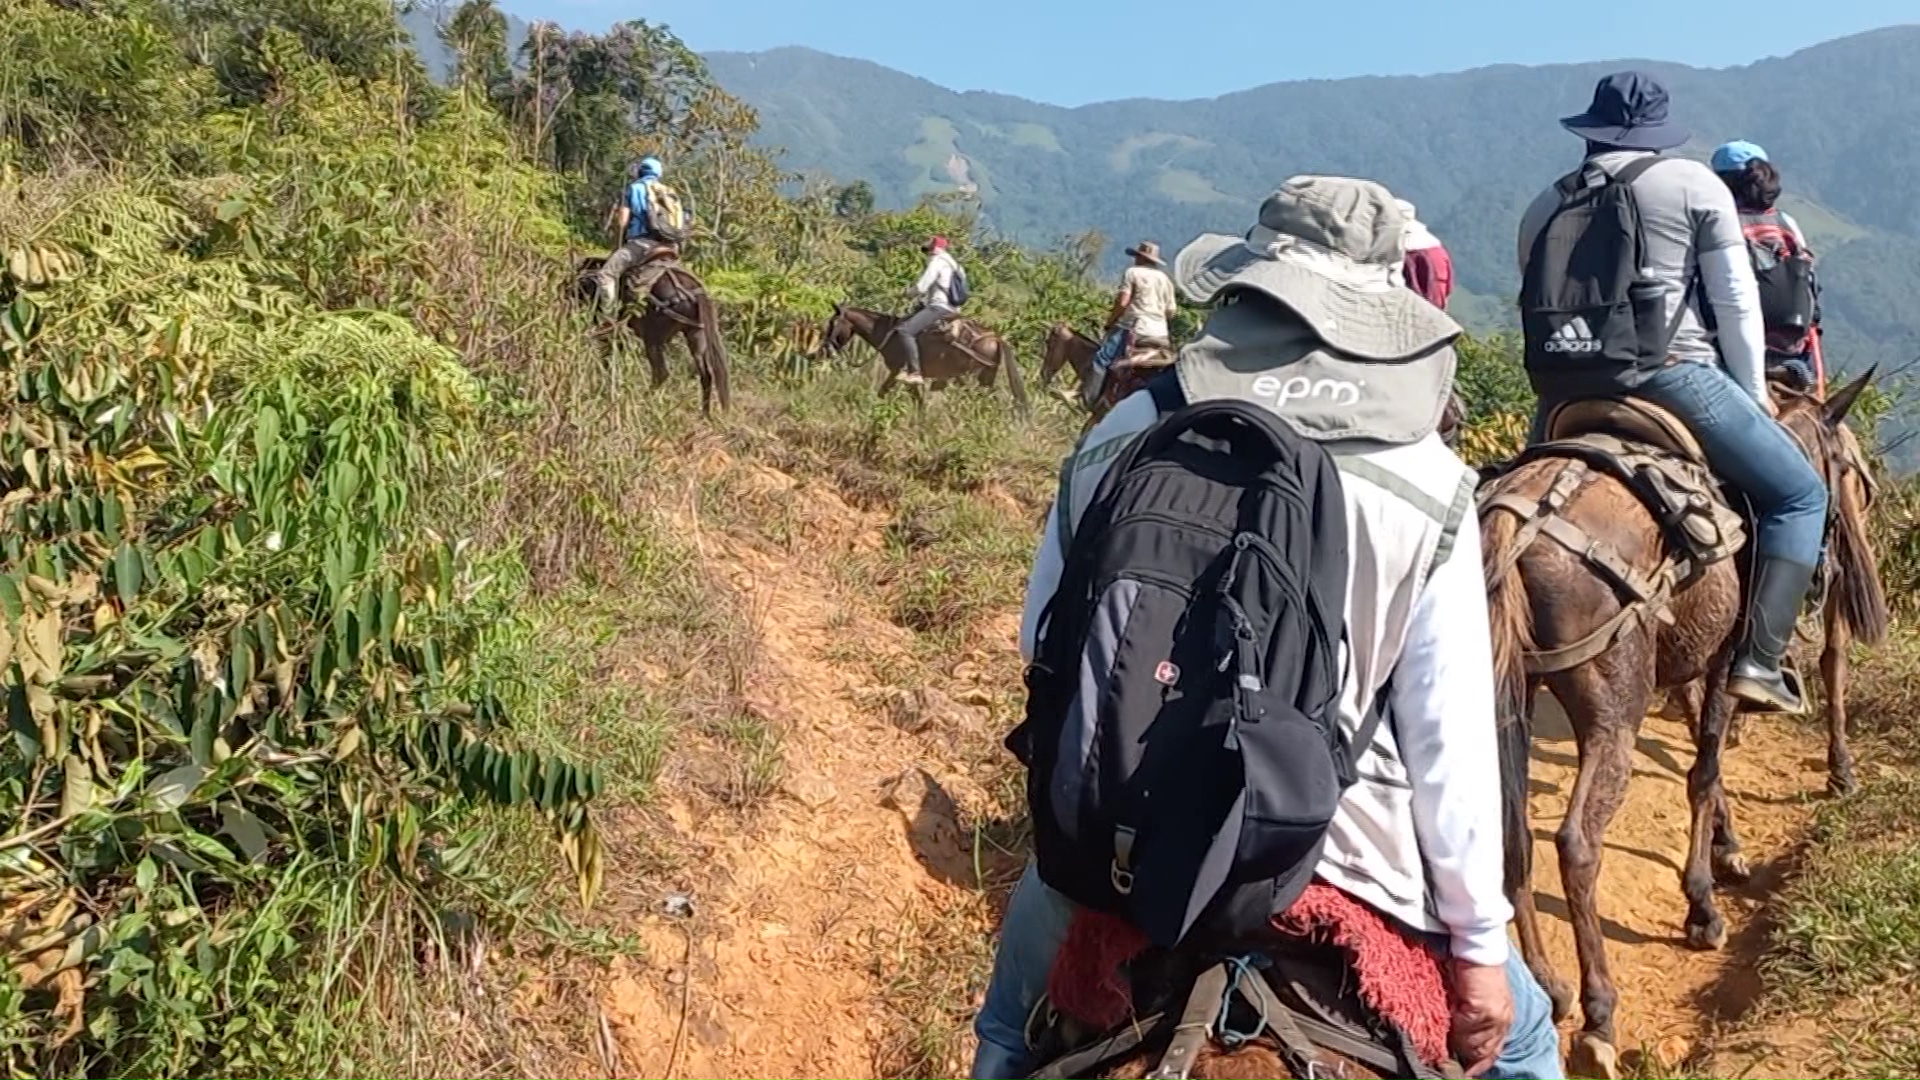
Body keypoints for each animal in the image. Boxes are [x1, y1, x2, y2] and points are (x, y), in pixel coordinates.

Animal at [572, 253, 729, 413]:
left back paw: (643, 400)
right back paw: (704, 414)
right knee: (706, 374)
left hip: (653, 339)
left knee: (661, 373)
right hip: (695, 335)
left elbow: (607, 357)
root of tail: (691, 292)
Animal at [817, 307, 1029, 417]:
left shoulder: (898, 372)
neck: (888, 333)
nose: (824, 350)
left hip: (976, 379)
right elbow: (914, 399)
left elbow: (887, 393)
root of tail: (996, 338)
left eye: (832, 324)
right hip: (983, 379)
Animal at [1474, 372, 1881, 1076]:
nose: (1840, 533)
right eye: (1838, 462)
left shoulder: (1692, 661)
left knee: (1512, 835)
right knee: (1577, 844)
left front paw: (1727, 848)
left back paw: (1550, 988)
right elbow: (1705, 769)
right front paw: (1702, 904)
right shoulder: (1725, 660)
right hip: (1615, 707)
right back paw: (1598, 1015)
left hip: (1506, 697)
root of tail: (1521, 519)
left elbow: (1703, 759)